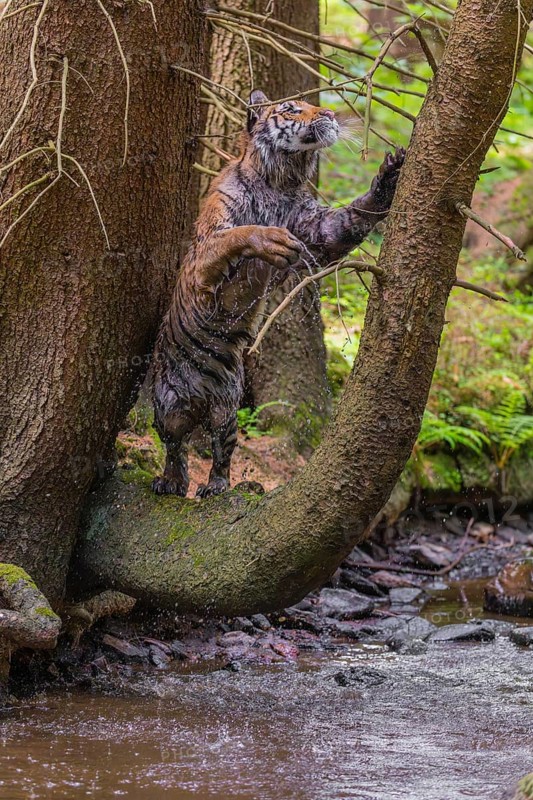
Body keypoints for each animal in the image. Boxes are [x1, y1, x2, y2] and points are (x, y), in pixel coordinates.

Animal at [152, 89, 405, 499]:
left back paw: (215, 487)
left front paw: (390, 175)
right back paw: (171, 482)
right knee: (176, 447)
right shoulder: (206, 256)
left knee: (220, 451)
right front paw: (270, 238)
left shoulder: (319, 229)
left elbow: (354, 215)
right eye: (292, 109)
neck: (280, 180)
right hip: (168, 407)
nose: (329, 113)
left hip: (226, 408)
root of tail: (199, 400)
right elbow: (240, 234)